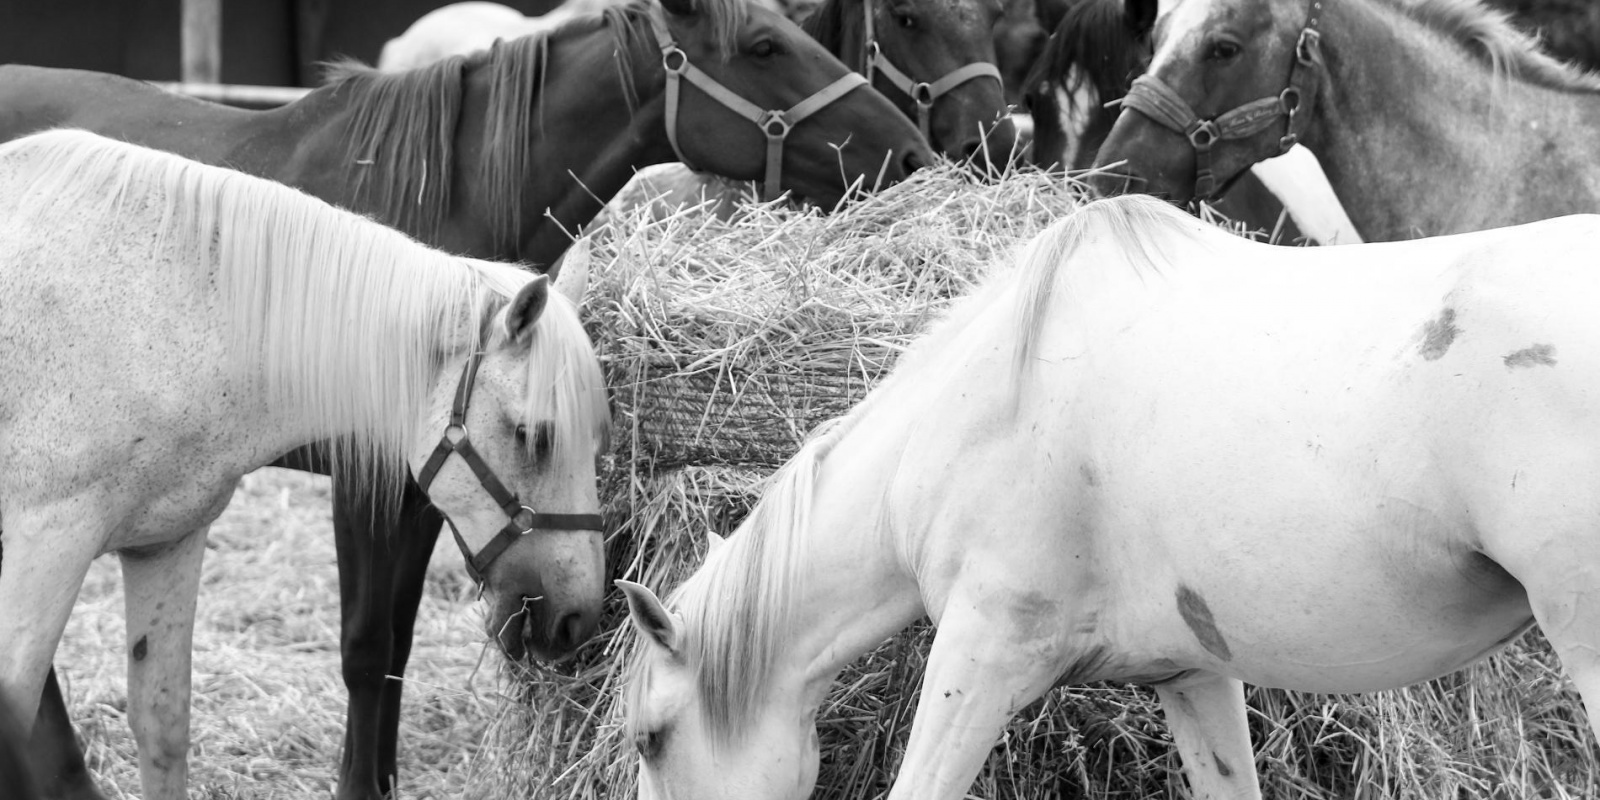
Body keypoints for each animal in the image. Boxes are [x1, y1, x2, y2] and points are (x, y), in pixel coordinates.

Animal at [0, 129, 610, 800]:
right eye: (534, 436)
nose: (577, 617)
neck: (162, 312)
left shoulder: (165, 543)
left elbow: (162, 724)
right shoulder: (48, 544)